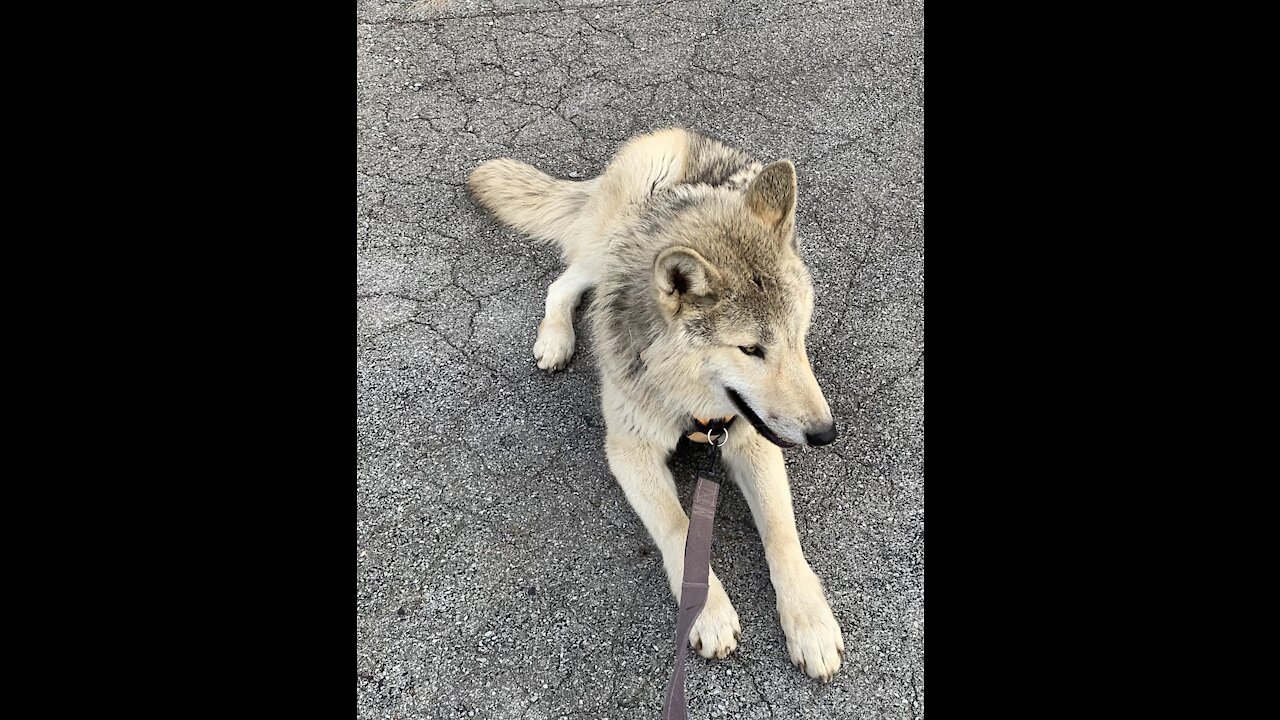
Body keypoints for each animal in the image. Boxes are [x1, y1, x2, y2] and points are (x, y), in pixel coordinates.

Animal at [465, 126, 844, 681]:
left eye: (798, 336)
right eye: (750, 349)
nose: (824, 434)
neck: (689, 399)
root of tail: (679, 135)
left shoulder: (751, 440)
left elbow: (781, 534)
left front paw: (810, 622)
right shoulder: (630, 451)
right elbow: (679, 527)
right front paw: (709, 612)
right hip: (605, 246)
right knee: (566, 282)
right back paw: (556, 339)